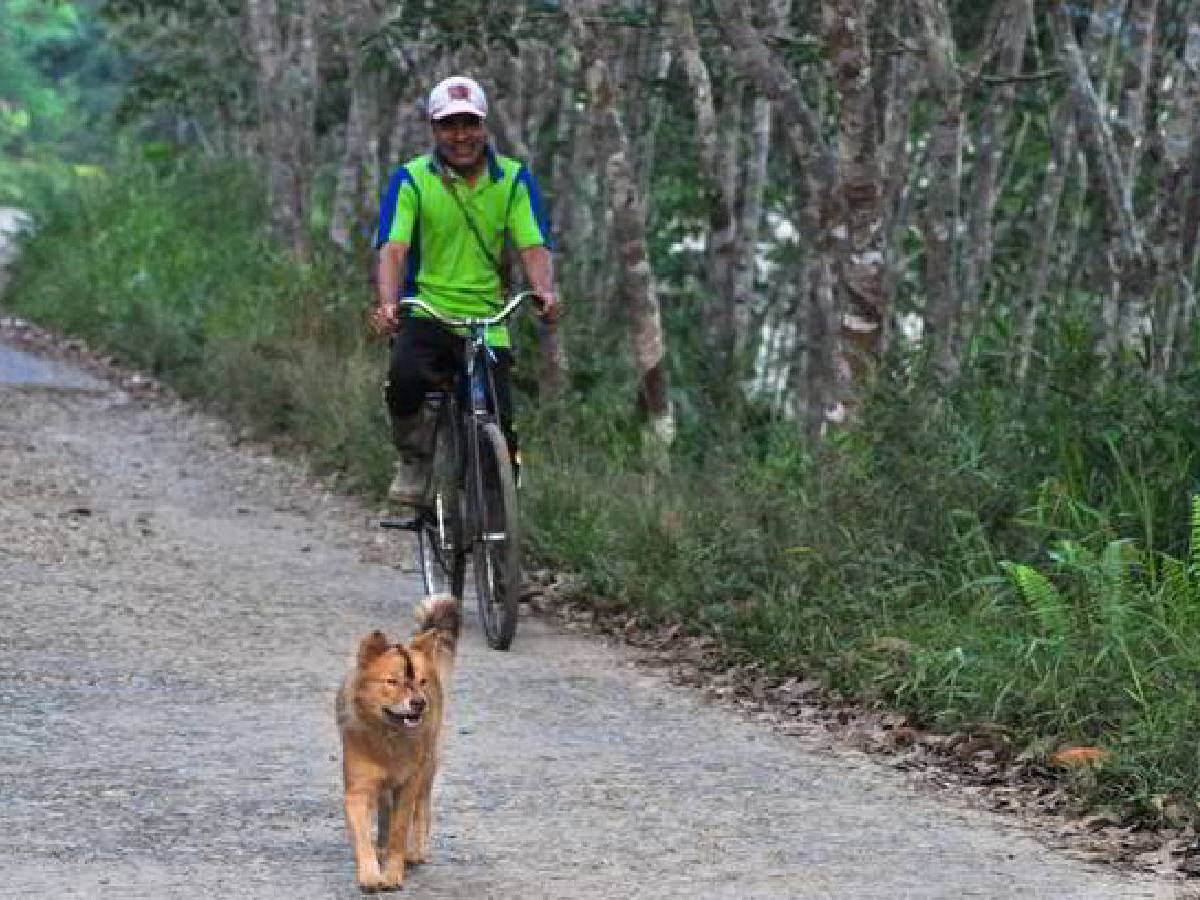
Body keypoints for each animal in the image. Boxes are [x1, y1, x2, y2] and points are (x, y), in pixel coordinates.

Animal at [338, 600, 458, 897]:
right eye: (392, 682)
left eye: (422, 682)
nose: (419, 703)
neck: (389, 734)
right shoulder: (358, 789)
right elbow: (363, 836)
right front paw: (371, 875)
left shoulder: (408, 784)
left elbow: (400, 830)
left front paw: (393, 873)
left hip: (427, 765)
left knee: (421, 807)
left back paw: (415, 852)